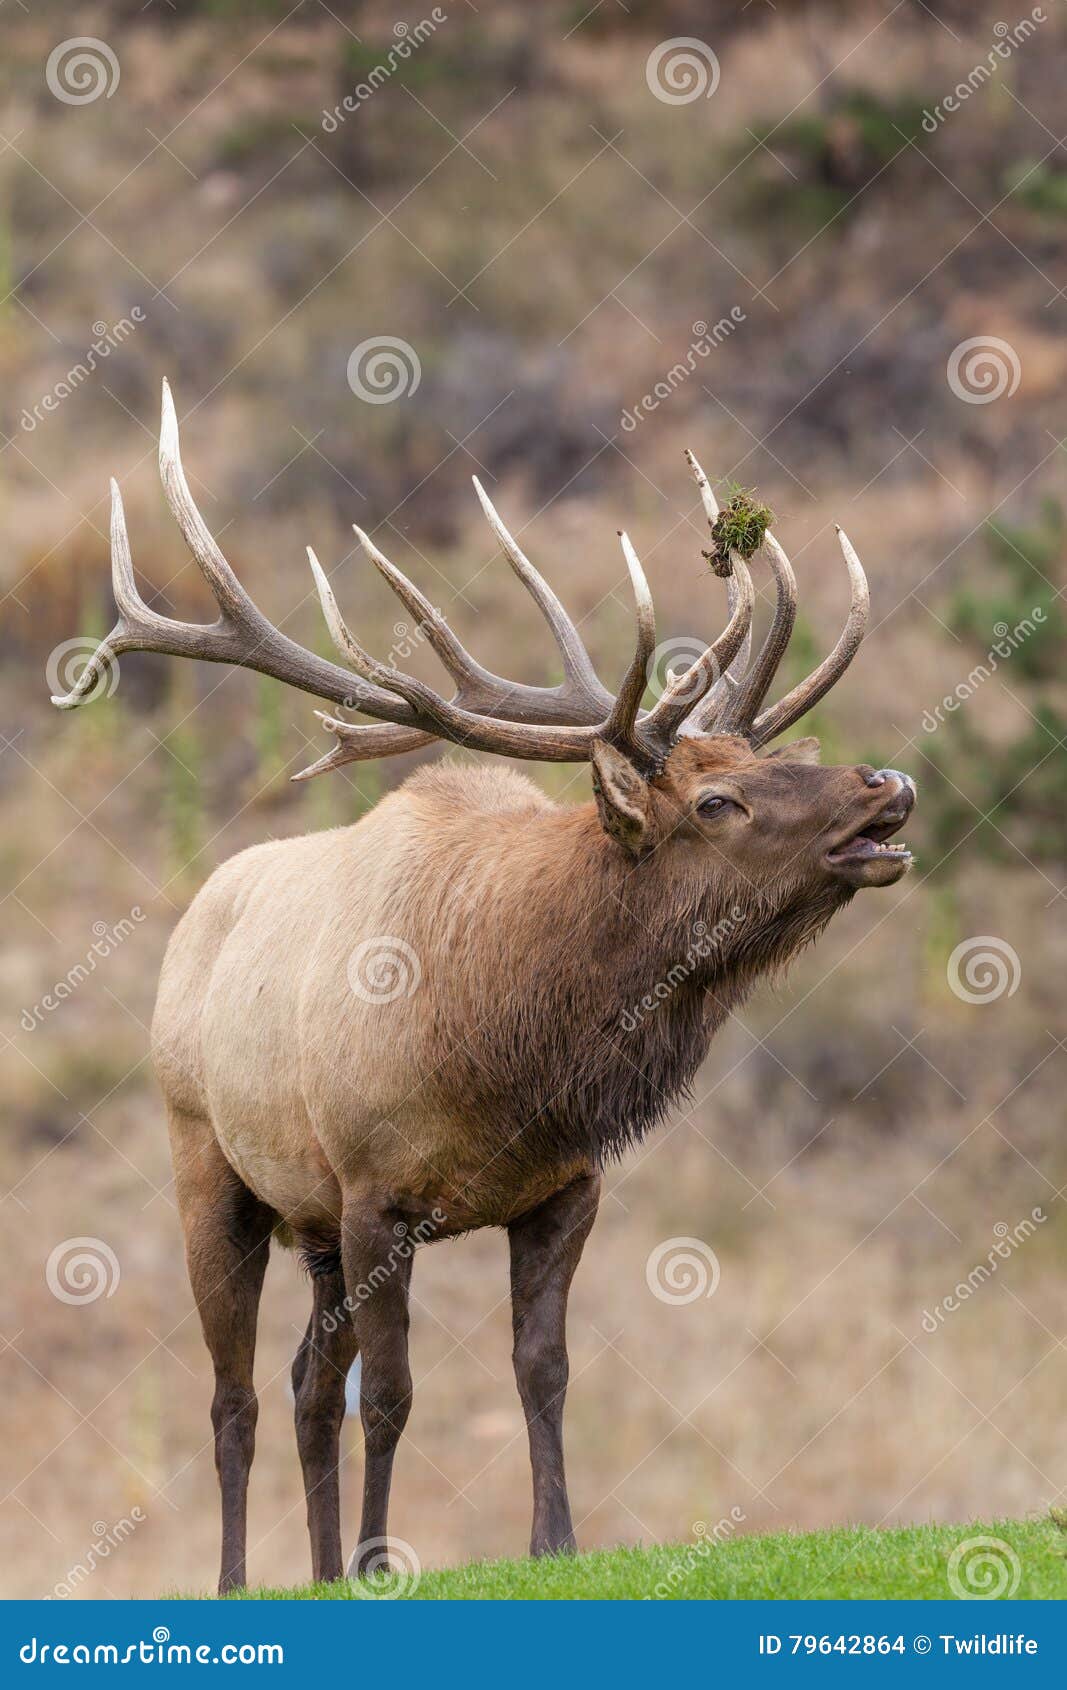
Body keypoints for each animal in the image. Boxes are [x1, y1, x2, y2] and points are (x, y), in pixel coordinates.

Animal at [52, 381, 916, 1594]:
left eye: (772, 761)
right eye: (716, 803)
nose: (887, 787)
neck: (507, 1057)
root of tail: (192, 918)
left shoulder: (562, 1187)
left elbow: (540, 1370)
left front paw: (551, 1540)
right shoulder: (376, 1195)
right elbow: (393, 1397)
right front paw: (380, 1563)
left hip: (310, 1221)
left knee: (304, 1382)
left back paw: (317, 1569)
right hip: (208, 1167)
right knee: (233, 1398)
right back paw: (239, 1580)